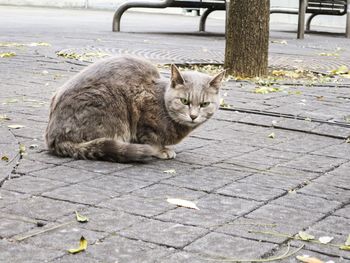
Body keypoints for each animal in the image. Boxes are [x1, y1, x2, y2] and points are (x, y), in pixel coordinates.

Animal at [45, 56, 226, 163]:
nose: (193, 116)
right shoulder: (143, 112)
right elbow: (151, 138)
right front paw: (161, 150)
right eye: (184, 101)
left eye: (204, 104)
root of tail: (54, 137)